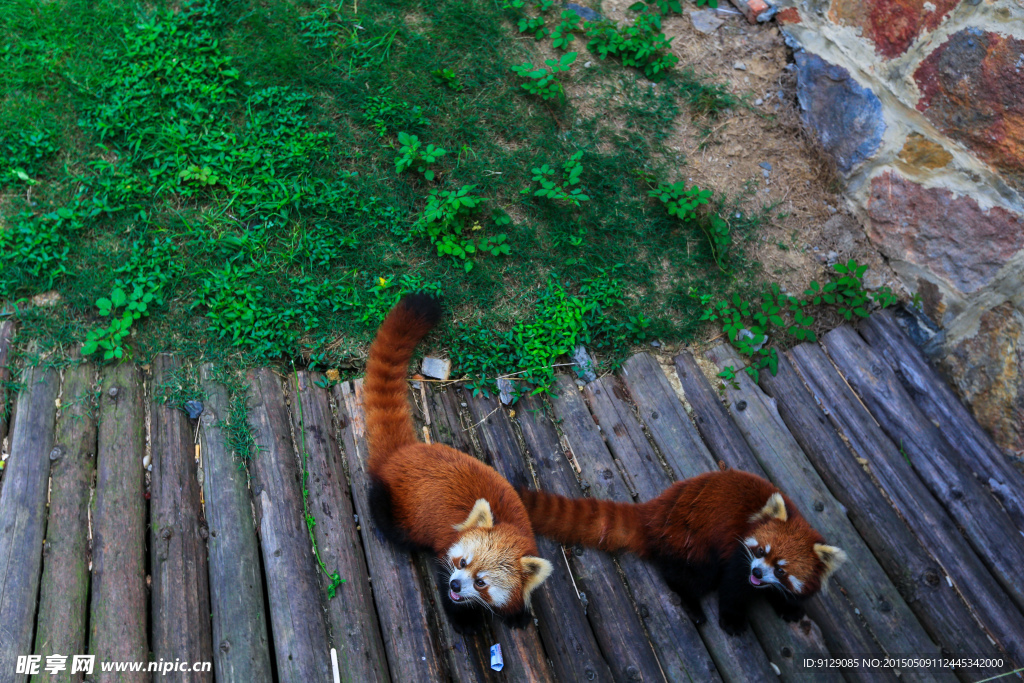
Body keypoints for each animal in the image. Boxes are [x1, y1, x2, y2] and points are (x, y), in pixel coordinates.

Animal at [366, 296, 552, 634]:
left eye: (481, 582)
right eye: (462, 562)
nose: (455, 585)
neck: (510, 524)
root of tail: (408, 449)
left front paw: (516, 613)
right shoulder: (445, 545)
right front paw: (466, 620)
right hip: (401, 508)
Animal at [520, 471, 847, 634]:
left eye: (780, 568)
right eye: (759, 550)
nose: (757, 572)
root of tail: (656, 512)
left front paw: (788, 607)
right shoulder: (737, 552)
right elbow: (733, 587)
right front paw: (732, 620)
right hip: (693, 542)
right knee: (689, 577)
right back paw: (692, 605)